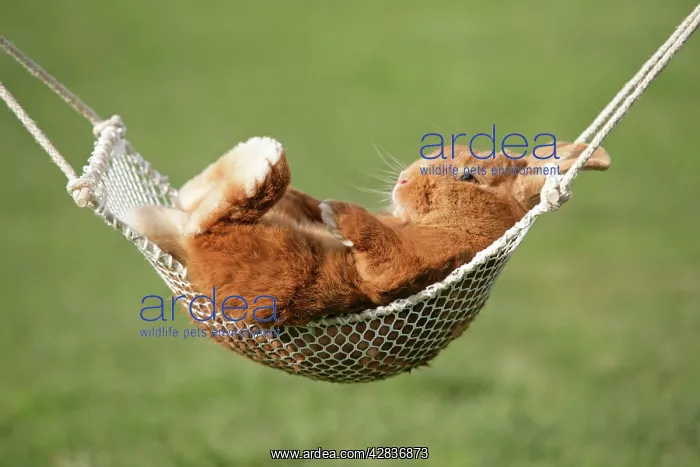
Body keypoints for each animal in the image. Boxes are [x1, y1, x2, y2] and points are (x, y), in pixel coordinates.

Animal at [126, 137, 610, 327]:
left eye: (468, 176)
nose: (404, 178)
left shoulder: (420, 262)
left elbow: (383, 255)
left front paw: (336, 212)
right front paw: (320, 207)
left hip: (268, 256)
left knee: (213, 217)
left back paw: (259, 159)